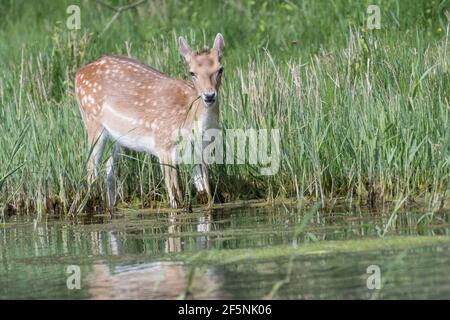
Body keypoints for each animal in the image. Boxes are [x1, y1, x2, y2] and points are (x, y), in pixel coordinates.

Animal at [75, 33, 227, 209]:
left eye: (220, 69)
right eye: (192, 73)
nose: (209, 96)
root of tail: (78, 73)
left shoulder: (199, 151)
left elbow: (206, 191)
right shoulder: (164, 146)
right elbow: (175, 195)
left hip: (118, 139)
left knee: (108, 167)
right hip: (93, 123)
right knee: (91, 168)